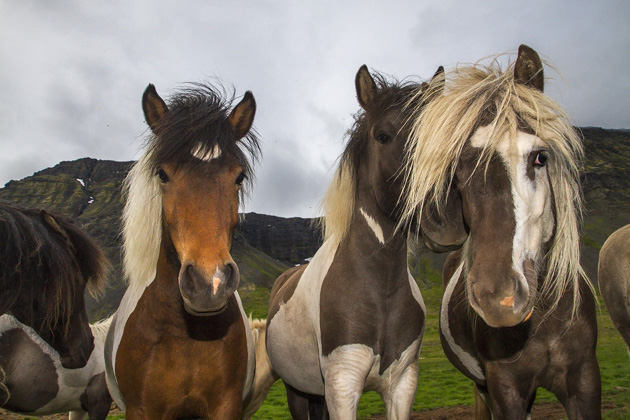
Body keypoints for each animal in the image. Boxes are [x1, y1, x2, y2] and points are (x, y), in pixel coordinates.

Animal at [105, 83, 268, 420]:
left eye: (239, 176)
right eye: (163, 174)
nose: (210, 284)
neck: (186, 333)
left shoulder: (226, 406)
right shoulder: (140, 409)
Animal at [266, 65, 444, 420]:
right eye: (382, 135)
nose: (441, 211)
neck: (380, 289)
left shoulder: (402, 385)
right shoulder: (342, 382)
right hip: (297, 390)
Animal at [402, 44, 604, 418]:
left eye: (540, 157)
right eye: (457, 172)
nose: (499, 299)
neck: (544, 321)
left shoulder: (585, 381)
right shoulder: (504, 386)